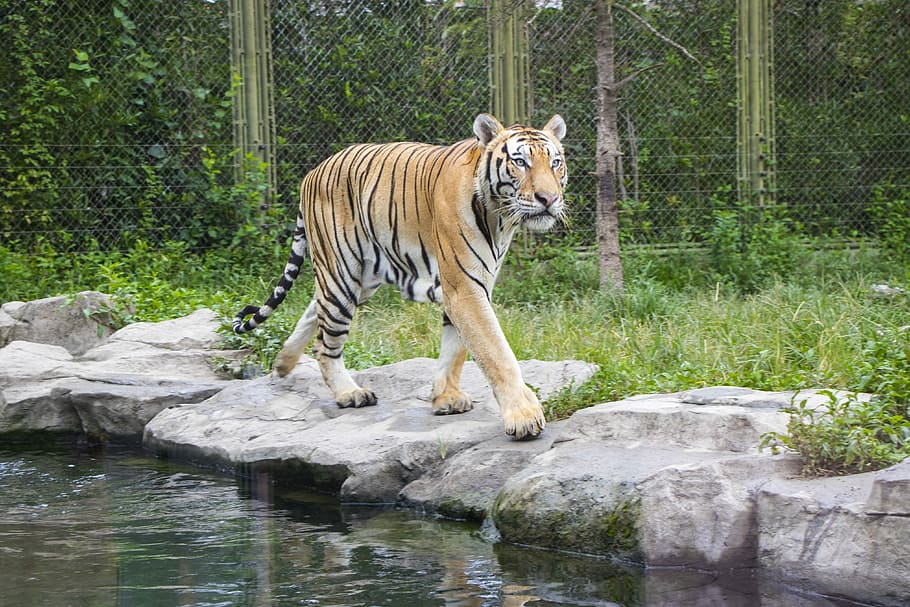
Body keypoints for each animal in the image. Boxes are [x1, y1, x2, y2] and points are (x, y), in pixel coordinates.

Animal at [233, 113, 567, 439]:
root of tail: (313, 172)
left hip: (359, 278)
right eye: (520, 162)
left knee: (316, 308)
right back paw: (349, 393)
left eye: (555, 163)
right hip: (341, 272)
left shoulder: (471, 285)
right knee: (326, 344)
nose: (549, 199)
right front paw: (524, 417)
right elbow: (496, 352)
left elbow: (455, 349)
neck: (500, 218)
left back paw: (283, 362)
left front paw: (446, 398)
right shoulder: (464, 287)